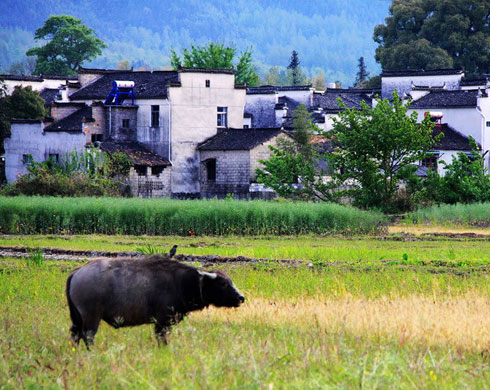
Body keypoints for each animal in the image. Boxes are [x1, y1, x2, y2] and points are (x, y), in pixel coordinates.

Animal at [67, 254, 245, 348]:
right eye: (223, 283)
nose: (241, 297)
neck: (181, 282)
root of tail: (78, 272)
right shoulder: (162, 323)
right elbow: (162, 340)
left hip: (77, 319)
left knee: (75, 335)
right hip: (91, 318)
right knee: (88, 336)